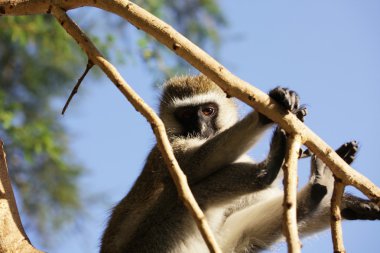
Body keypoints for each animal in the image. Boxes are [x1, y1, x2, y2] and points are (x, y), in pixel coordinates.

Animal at [99, 75, 378, 253]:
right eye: (187, 114)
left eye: (207, 111)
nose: (200, 128)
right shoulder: (166, 149)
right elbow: (193, 166)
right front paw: (264, 114)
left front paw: (352, 204)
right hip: (152, 242)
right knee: (189, 191)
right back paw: (267, 172)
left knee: (250, 235)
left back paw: (320, 186)